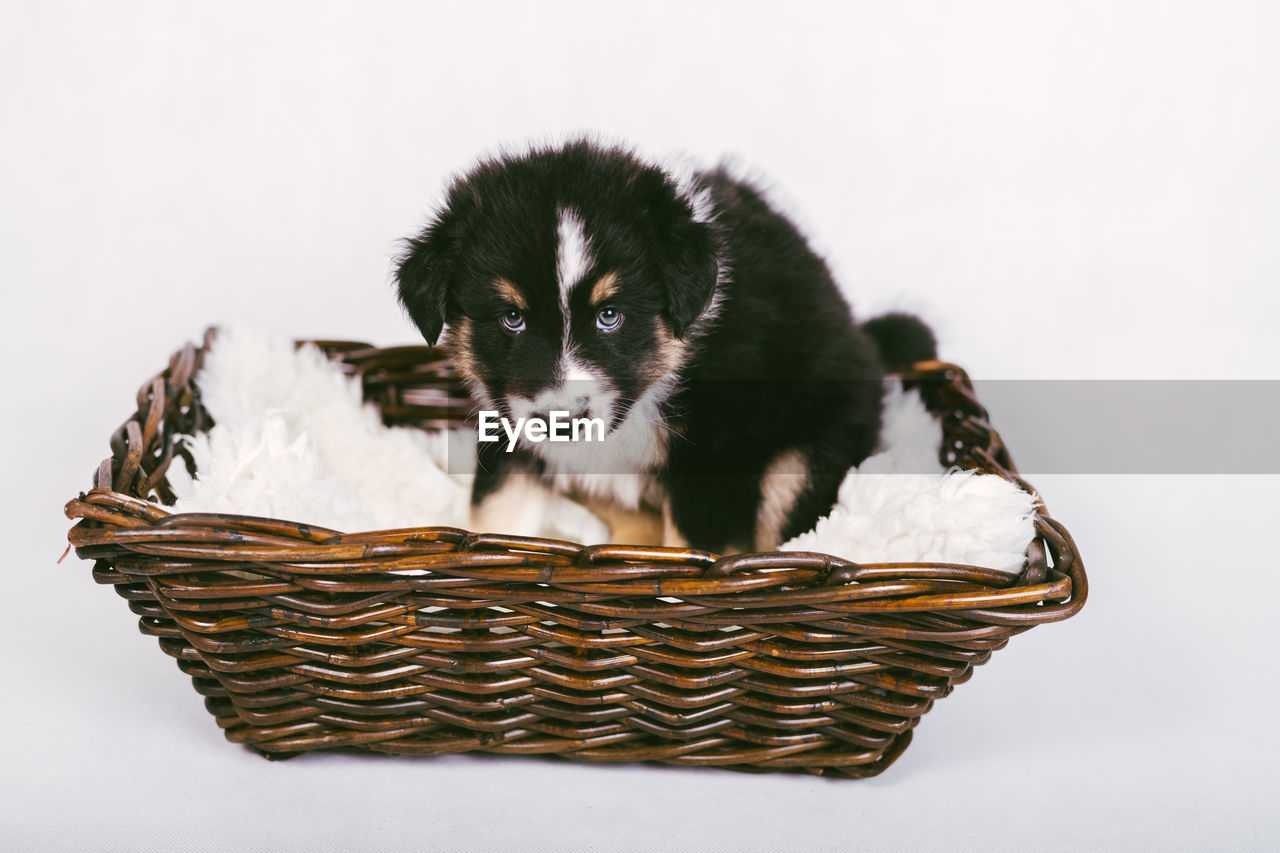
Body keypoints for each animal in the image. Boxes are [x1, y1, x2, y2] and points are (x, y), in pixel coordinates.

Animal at [394, 139, 936, 550]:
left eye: (610, 316)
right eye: (512, 319)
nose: (561, 423)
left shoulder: (716, 458)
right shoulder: (510, 428)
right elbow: (496, 516)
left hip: (804, 454)